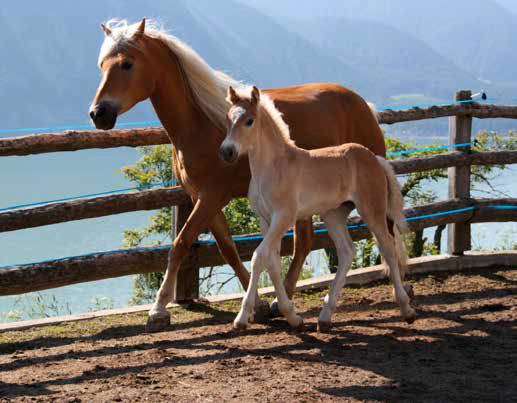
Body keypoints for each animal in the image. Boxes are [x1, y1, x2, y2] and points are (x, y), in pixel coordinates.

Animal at [88, 19, 384, 332]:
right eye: (102, 65)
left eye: (127, 64)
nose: (98, 113)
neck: (199, 124)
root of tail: (362, 103)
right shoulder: (203, 198)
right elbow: (228, 249)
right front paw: (257, 305)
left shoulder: (212, 196)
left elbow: (180, 244)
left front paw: (158, 309)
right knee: (303, 243)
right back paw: (283, 300)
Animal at [219, 85, 416, 332]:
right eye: (228, 118)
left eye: (249, 121)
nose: (227, 151)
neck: (274, 166)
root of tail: (374, 158)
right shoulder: (266, 220)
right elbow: (272, 261)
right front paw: (292, 316)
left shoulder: (284, 216)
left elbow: (259, 256)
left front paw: (242, 318)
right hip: (333, 214)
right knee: (347, 251)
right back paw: (325, 316)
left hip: (372, 209)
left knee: (387, 247)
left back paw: (406, 309)